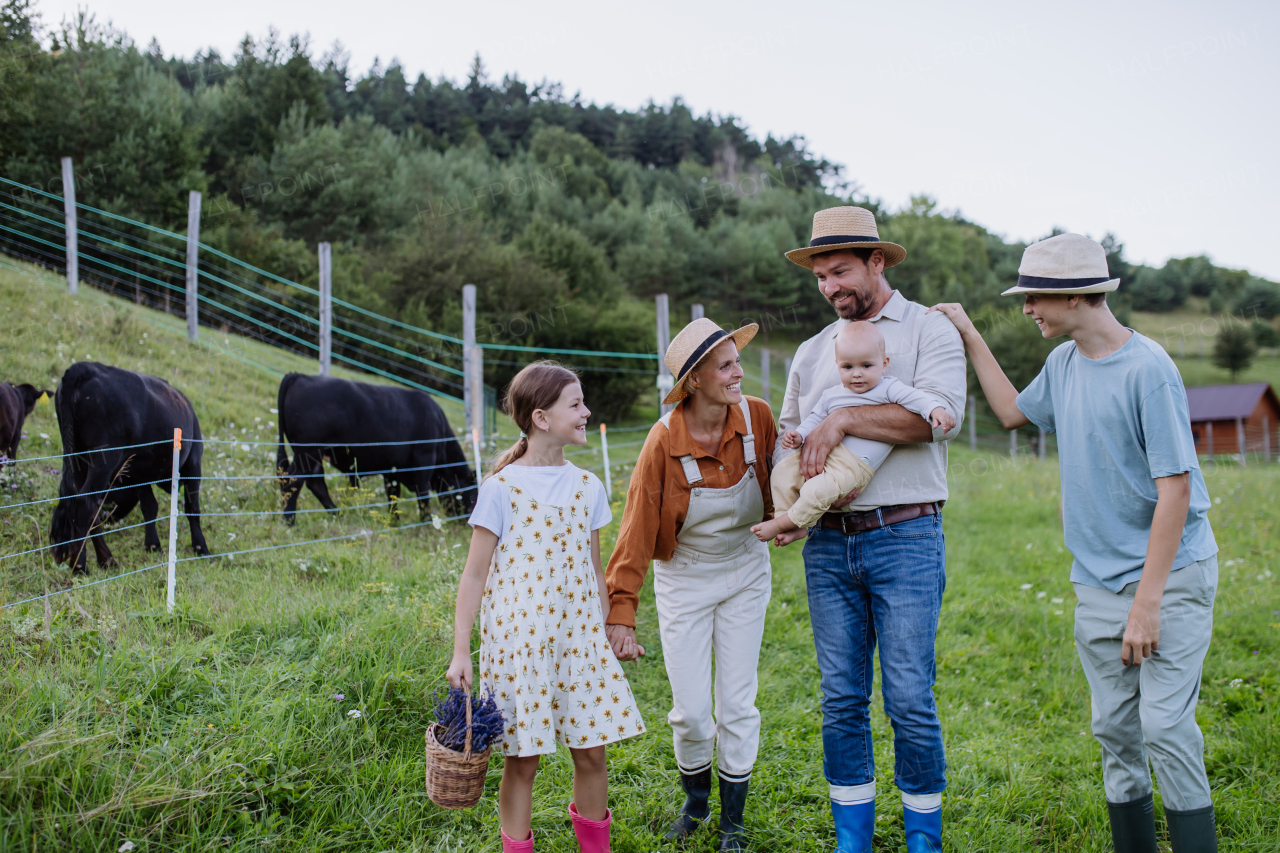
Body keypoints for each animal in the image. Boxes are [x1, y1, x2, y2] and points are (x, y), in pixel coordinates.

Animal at [51, 361, 211, 573]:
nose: (110, 517)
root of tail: (82, 368)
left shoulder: (139, 474)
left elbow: (149, 506)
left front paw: (153, 545)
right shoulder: (193, 464)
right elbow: (193, 508)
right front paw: (201, 548)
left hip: (77, 458)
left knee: (87, 505)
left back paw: (106, 559)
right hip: (104, 459)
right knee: (86, 503)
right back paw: (80, 565)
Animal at [277, 373, 478, 525]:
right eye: (474, 495)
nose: (468, 521)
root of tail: (300, 376)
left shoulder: (392, 468)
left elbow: (393, 494)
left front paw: (394, 521)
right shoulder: (424, 460)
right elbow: (423, 494)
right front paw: (426, 522)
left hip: (314, 454)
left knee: (314, 482)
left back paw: (337, 514)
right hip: (308, 451)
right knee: (294, 479)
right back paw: (290, 521)